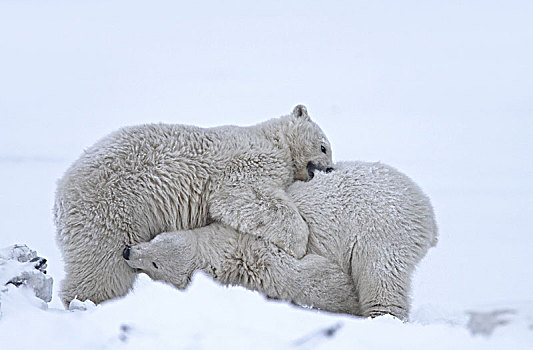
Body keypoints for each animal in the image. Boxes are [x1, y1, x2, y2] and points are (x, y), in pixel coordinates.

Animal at [53, 106, 328, 306]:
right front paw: (298, 244)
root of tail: (61, 195)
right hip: (109, 213)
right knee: (104, 270)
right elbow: (244, 195)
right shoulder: (250, 161)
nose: (327, 169)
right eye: (324, 147)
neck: (270, 137)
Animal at [123, 161, 436, 320]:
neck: (226, 241)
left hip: (382, 230)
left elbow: (314, 278)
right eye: (155, 238)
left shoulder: (259, 254)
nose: (127, 251)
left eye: (155, 264)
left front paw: (344, 300)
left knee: (379, 275)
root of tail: (426, 209)